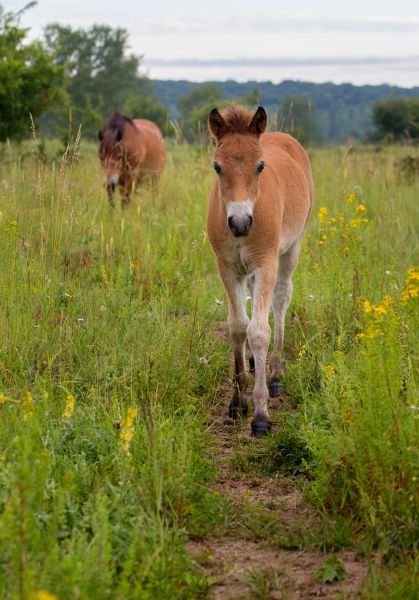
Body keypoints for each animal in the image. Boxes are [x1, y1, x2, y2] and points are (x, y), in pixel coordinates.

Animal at [208, 104, 314, 436]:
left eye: (260, 166)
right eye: (217, 167)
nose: (240, 223)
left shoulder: (266, 262)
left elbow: (258, 331)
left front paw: (261, 414)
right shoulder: (227, 267)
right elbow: (237, 326)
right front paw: (237, 401)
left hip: (291, 248)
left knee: (280, 300)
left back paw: (276, 373)